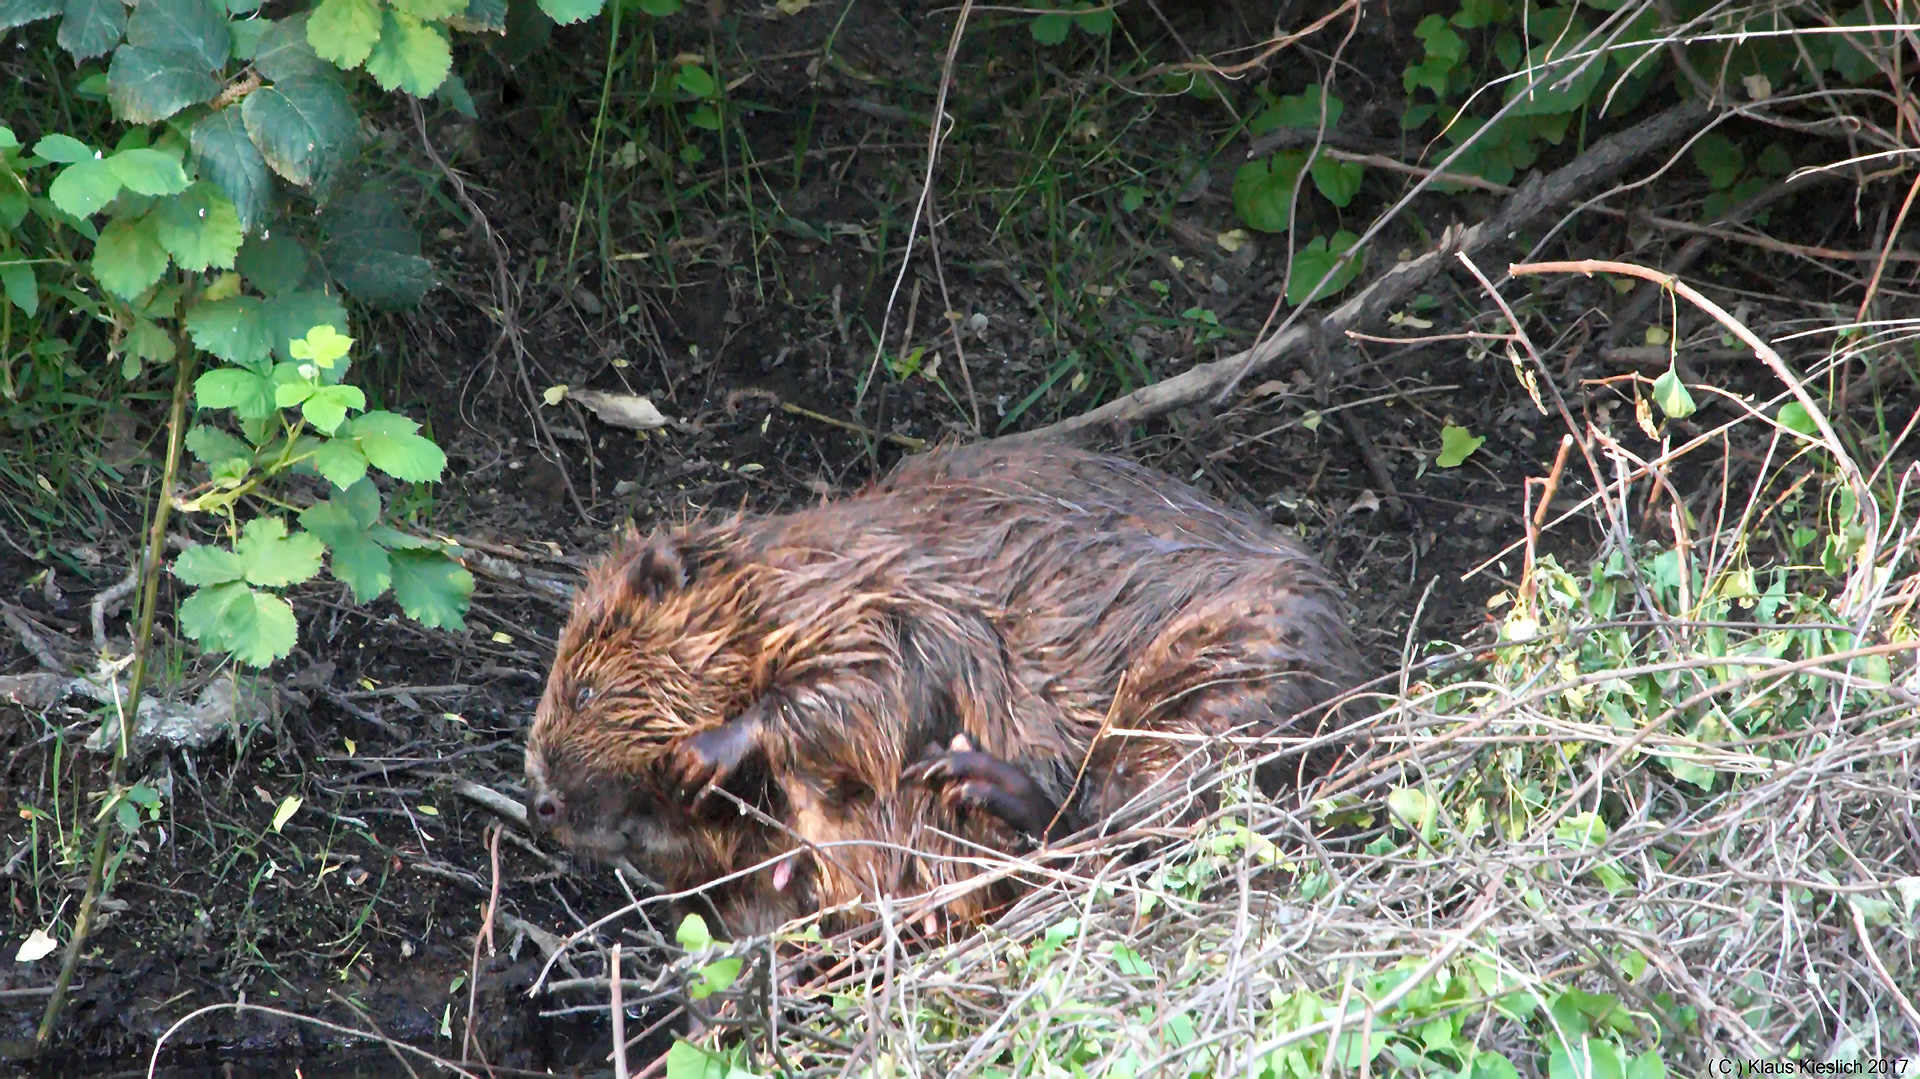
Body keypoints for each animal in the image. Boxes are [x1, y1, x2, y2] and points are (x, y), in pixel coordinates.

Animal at [526, 441, 1367, 936]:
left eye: (586, 692)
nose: (541, 802)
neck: (776, 576)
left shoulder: (894, 596)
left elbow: (874, 679)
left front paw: (705, 753)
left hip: (1225, 667)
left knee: (1136, 827)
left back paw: (979, 780)